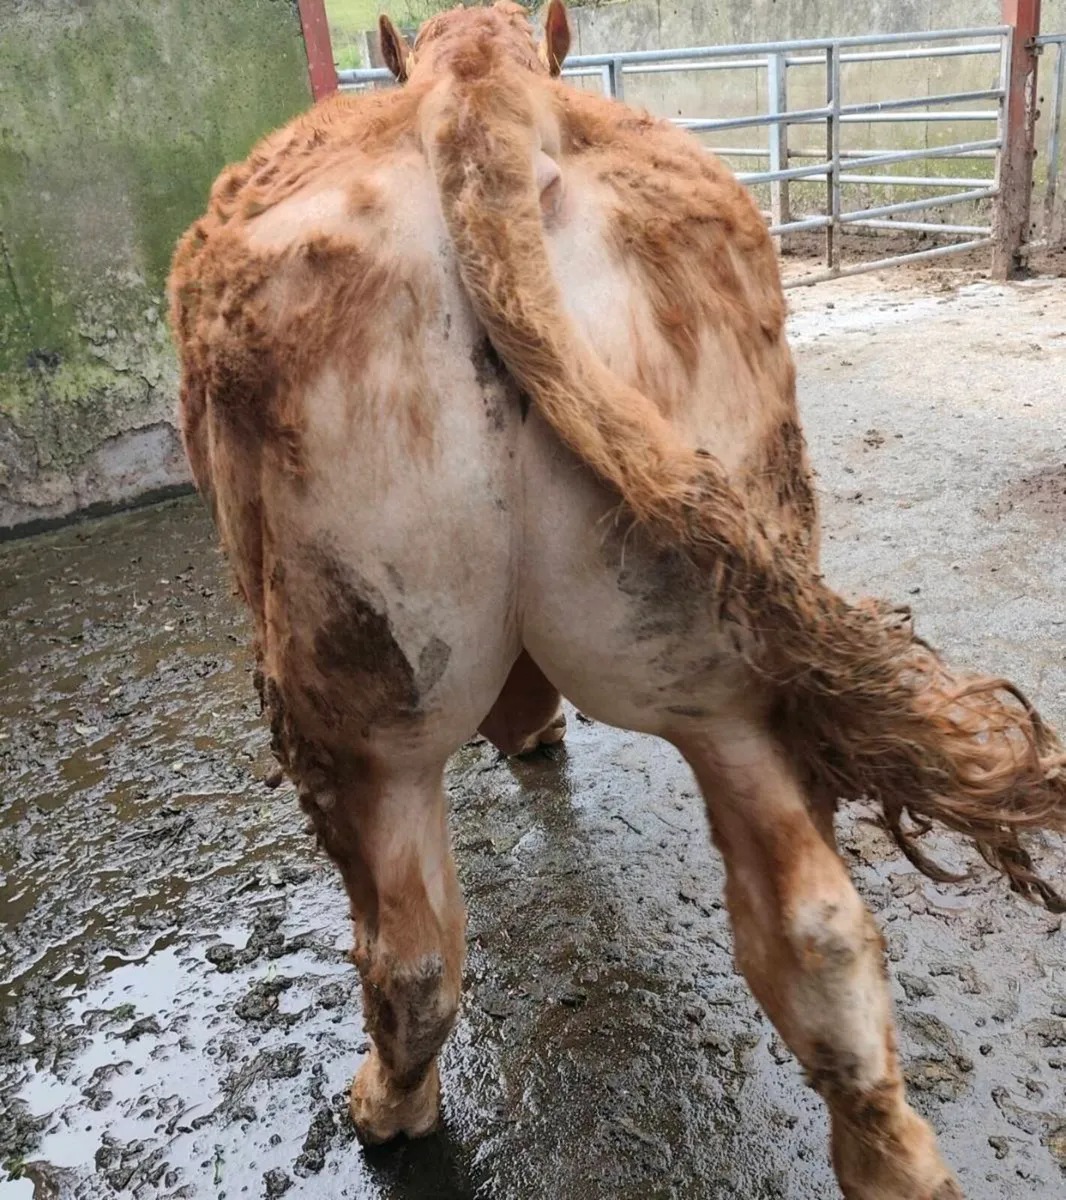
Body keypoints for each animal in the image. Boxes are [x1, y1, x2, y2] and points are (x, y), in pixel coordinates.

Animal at [167, 4, 1066, 1195]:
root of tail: (481, 103)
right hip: (721, 662)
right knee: (816, 928)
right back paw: (894, 1160)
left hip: (360, 700)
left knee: (409, 955)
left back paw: (387, 1109)